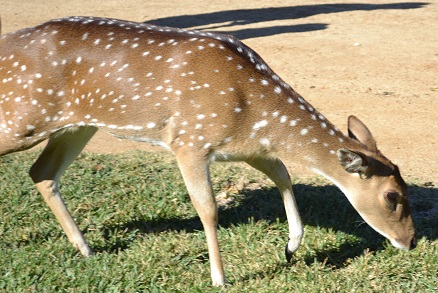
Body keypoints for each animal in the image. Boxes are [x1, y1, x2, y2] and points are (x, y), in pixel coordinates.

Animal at [0, 16, 418, 286]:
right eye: (391, 196)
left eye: (406, 188)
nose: (411, 240)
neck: (252, 110)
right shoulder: (189, 141)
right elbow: (208, 208)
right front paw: (220, 277)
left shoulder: (247, 146)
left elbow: (283, 173)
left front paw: (291, 246)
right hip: (23, 115)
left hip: (78, 125)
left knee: (42, 172)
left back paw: (85, 248)